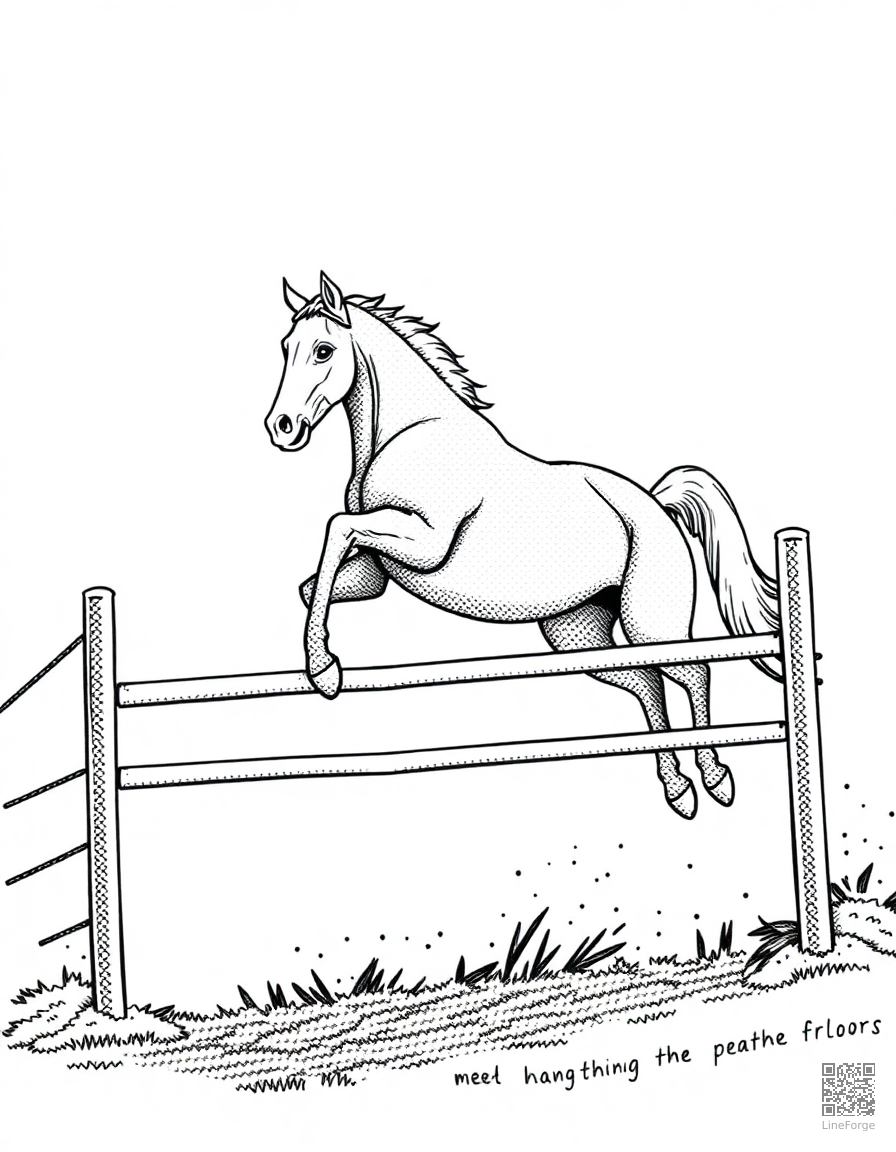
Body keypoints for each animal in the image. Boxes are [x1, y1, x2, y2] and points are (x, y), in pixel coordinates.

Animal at [264, 271, 780, 819]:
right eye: (286, 346)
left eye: (323, 350)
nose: (282, 428)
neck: (409, 434)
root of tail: (658, 505)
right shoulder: (377, 571)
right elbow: (316, 583)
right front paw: (324, 663)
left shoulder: (424, 544)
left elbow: (336, 528)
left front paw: (323, 672)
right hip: (576, 634)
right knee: (649, 684)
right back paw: (678, 789)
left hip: (650, 624)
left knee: (694, 672)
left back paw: (716, 778)